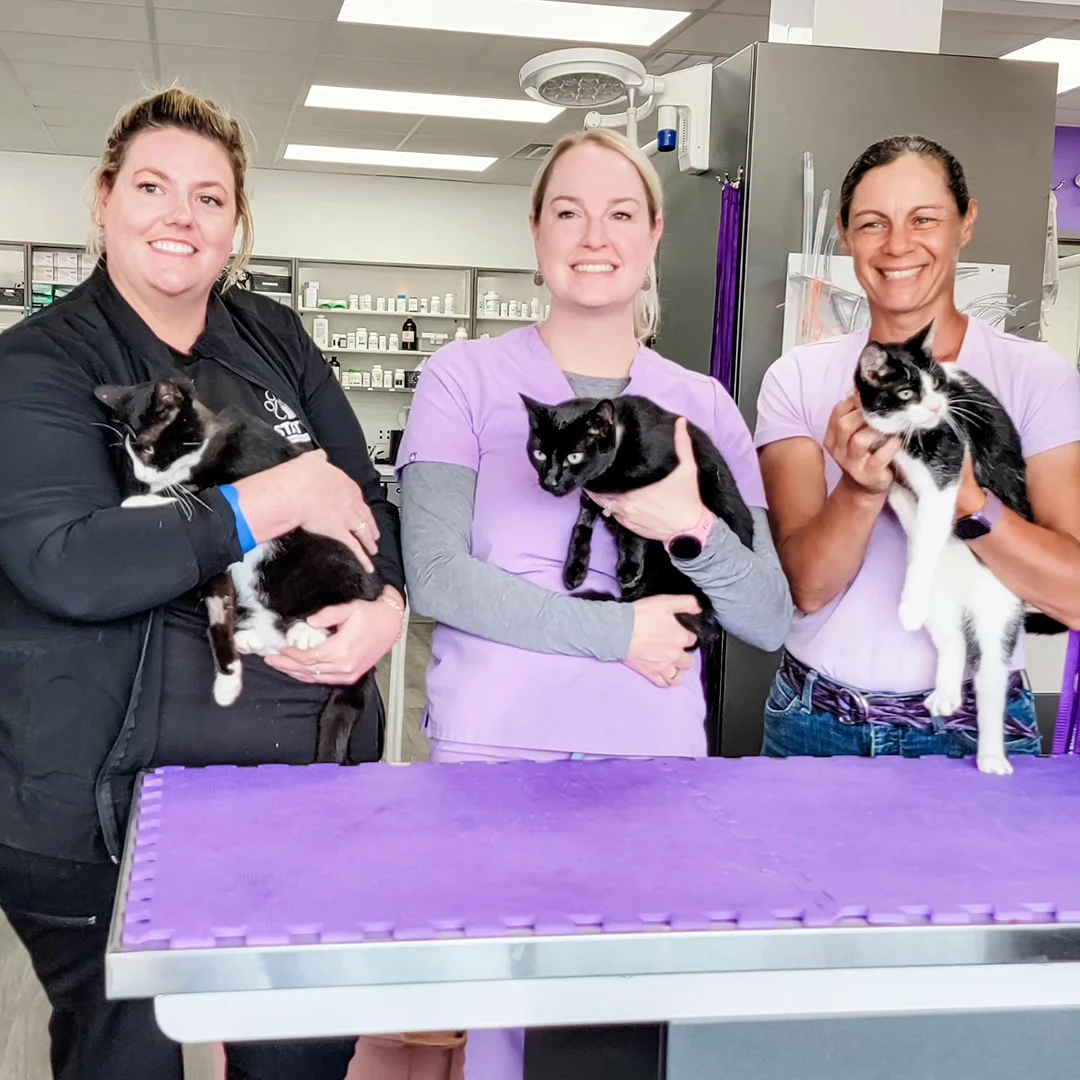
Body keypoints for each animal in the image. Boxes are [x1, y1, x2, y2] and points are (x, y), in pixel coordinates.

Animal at [95, 375, 386, 764]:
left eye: (146, 450)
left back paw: (308, 631)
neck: (207, 443)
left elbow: (202, 496)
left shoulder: (258, 466)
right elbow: (218, 612)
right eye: (128, 454)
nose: (140, 477)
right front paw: (228, 679)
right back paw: (254, 638)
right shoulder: (216, 562)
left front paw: (141, 499)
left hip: (332, 561)